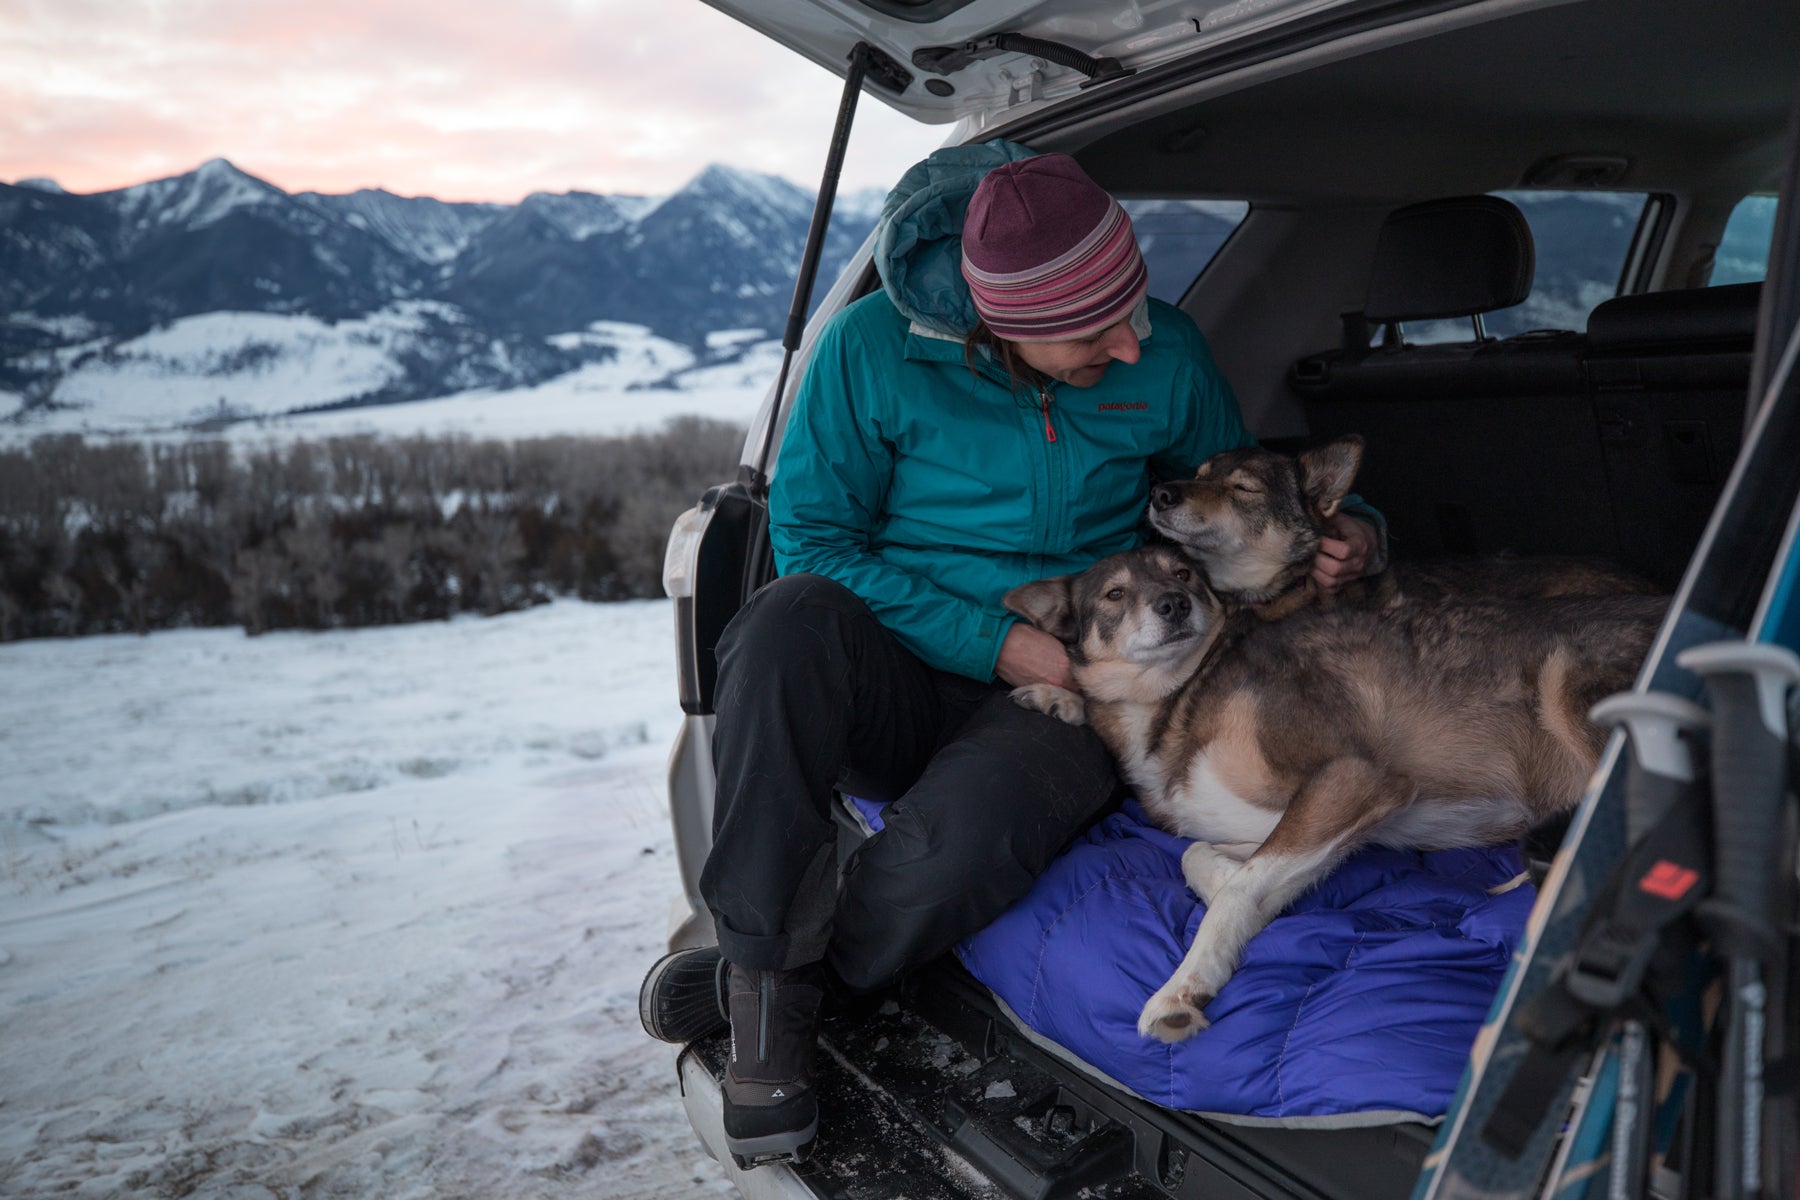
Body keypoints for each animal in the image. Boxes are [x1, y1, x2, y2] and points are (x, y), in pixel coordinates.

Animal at [1000, 543, 1656, 1043]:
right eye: (1115, 594)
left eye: (1182, 574)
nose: (1174, 603)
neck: (1176, 698)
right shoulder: (1303, 824)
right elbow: (1205, 861)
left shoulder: (1353, 776)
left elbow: (1234, 889)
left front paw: (1183, 986)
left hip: (1569, 682)